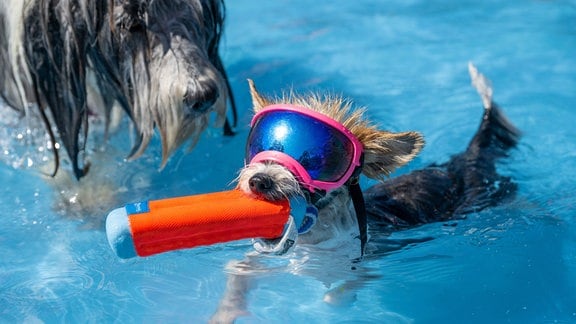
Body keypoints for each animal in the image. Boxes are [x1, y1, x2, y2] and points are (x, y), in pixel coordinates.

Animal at [209, 62, 520, 322]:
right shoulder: (258, 262)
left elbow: (336, 294)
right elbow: (236, 274)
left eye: (318, 161)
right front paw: (224, 313)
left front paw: (328, 302)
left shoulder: (367, 264)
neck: (313, 239)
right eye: (259, 147)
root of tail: (462, 163)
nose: (260, 180)